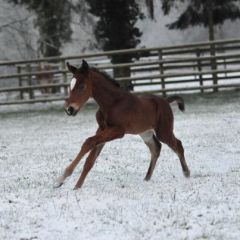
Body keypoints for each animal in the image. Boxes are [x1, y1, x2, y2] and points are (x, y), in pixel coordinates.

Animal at [55, 60, 190, 189]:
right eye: (70, 86)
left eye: (82, 86)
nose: (69, 109)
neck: (112, 103)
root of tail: (165, 101)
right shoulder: (102, 129)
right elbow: (90, 159)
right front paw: (76, 186)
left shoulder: (118, 131)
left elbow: (88, 142)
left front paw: (61, 178)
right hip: (145, 133)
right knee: (156, 148)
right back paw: (147, 178)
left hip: (163, 131)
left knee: (177, 144)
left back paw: (186, 173)